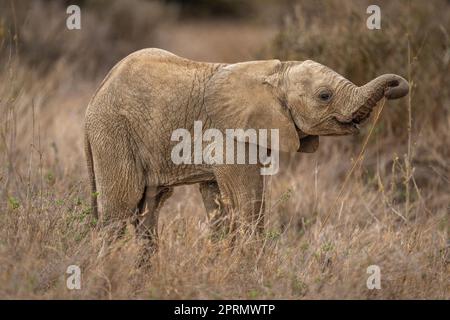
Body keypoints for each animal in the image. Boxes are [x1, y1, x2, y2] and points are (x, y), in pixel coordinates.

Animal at [83, 47, 408, 242]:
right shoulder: (229, 133)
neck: (275, 72)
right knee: (119, 209)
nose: (396, 86)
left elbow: (218, 203)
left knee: (149, 210)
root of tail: (93, 100)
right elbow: (246, 198)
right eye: (324, 96)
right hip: (113, 132)